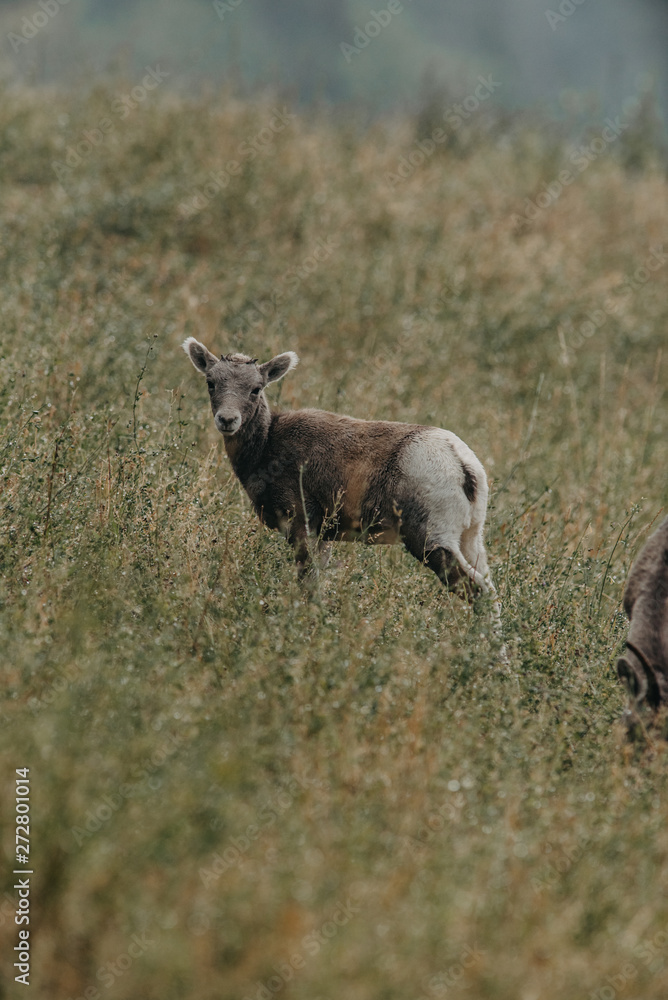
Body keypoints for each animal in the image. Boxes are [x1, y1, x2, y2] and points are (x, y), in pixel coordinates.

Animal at [183, 338, 501, 617]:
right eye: (211, 383)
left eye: (255, 388)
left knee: (479, 592)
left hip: (431, 541)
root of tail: (464, 465)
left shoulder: (303, 527)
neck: (265, 446)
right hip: (470, 539)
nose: (227, 420)